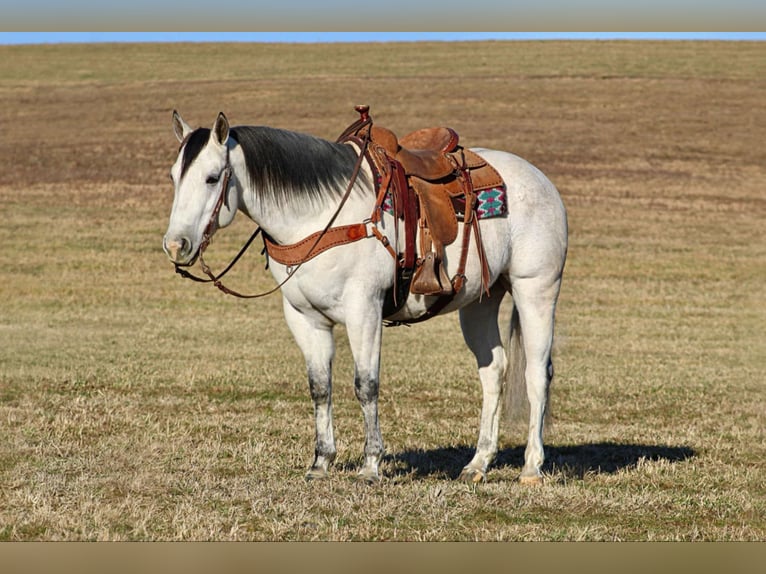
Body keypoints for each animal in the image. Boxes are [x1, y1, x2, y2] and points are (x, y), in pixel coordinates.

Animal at [164, 109, 568, 486]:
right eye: (173, 176)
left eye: (212, 177)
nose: (175, 245)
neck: (317, 216)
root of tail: (540, 179)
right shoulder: (304, 318)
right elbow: (320, 387)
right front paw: (320, 463)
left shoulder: (365, 312)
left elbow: (366, 385)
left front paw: (371, 466)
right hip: (479, 302)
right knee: (493, 370)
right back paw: (477, 463)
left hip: (536, 289)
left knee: (536, 373)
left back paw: (531, 467)